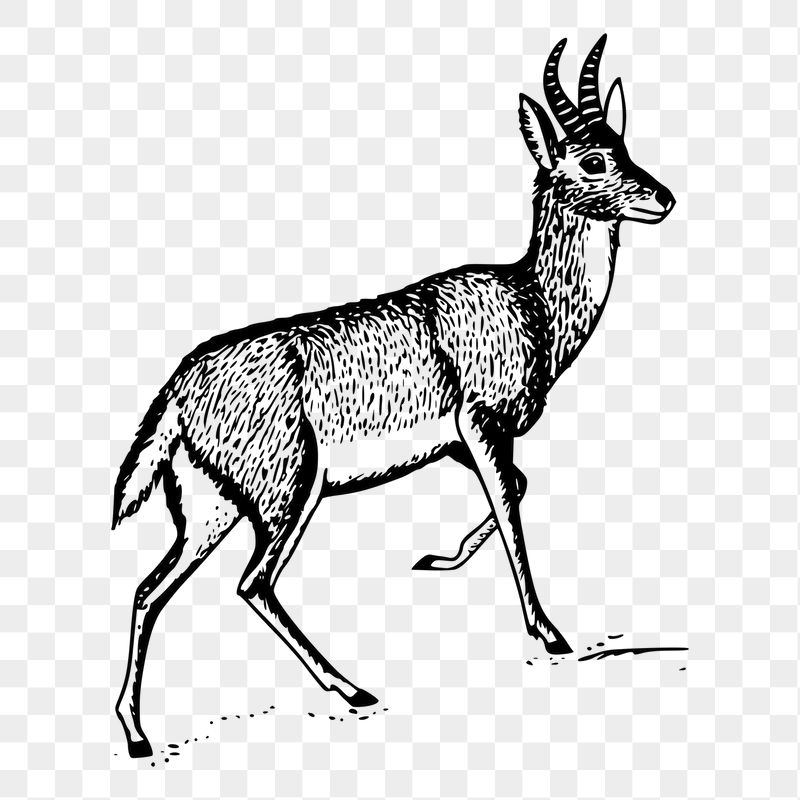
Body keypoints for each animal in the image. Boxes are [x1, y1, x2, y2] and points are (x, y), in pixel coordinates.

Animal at [113, 36, 674, 757]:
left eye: (622, 143)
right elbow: (513, 512)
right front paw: (550, 633)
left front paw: (436, 559)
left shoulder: (458, 441)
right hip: (288, 493)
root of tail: (179, 393)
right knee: (252, 582)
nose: (663, 198)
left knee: (149, 590)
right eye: (592, 159)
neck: (533, 304)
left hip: (211, 507)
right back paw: (353, 689)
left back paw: (136, 734)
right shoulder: (483, 425)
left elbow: (517, 490)